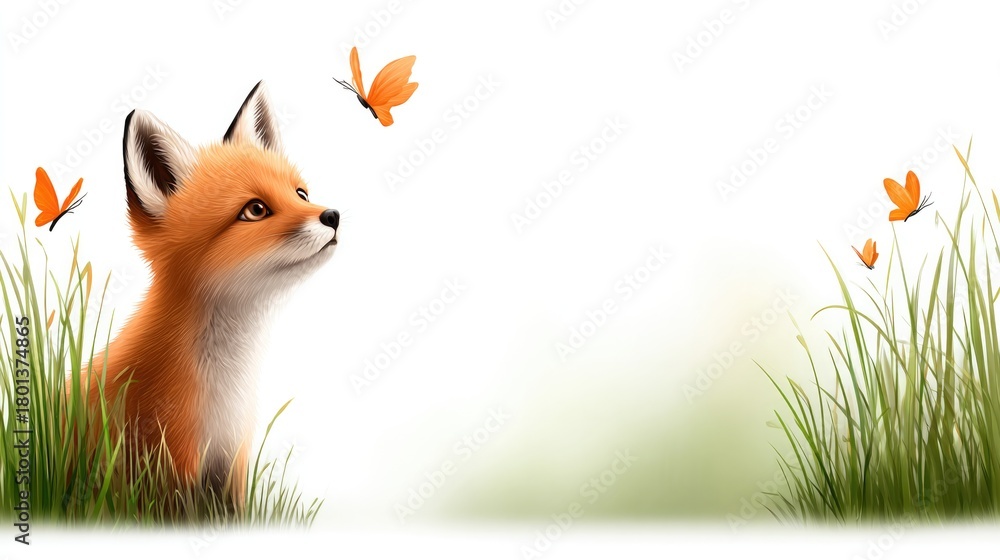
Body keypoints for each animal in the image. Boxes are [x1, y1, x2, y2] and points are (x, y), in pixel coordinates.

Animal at [70, 81, 339, 506]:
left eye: (301, 194)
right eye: (255, 209)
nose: (332, 216)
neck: (226, 383)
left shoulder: (234, 458)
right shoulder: (172, 458)